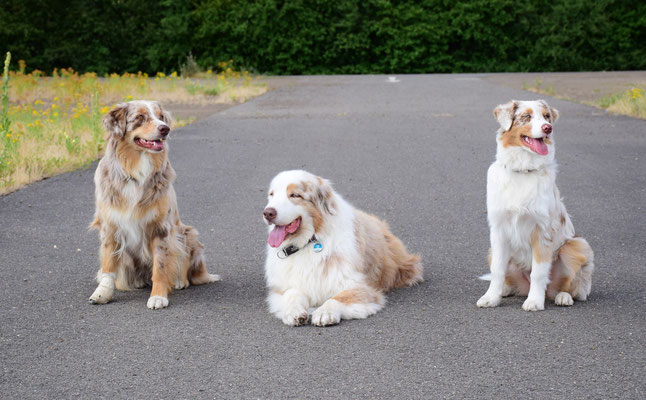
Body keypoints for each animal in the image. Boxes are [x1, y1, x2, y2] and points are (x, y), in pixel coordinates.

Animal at [88, 100, 220, 310]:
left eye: (160, 116)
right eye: (140, 117)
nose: (165, 129)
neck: (136, 173)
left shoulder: (161, 228)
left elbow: (161, 265)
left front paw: (158, 296)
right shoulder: (110, 226)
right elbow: (108, 264)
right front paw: (102, 293)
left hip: (187, 234)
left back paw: (179, 280)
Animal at [264, 170, 426, 326]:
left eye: (294, 195)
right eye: (272, 194)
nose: (268, 213)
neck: (310, 241)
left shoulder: (359, 286)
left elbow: (338, 298)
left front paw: (324, 313)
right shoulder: (285, 288)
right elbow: (292, 294)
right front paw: (293, 311)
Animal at [478, 100, 596, 312]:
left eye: (546, 116)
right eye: (526, 117)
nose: (548, 128)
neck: (523, 170)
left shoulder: (543, 231)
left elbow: (539, 272)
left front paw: (534, 301)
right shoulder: (498, 230)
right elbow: (497, 270)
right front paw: (491, 297)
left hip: (577, 245)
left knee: (573, 289)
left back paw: (563, 296)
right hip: (492, 252)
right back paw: (505, 290)